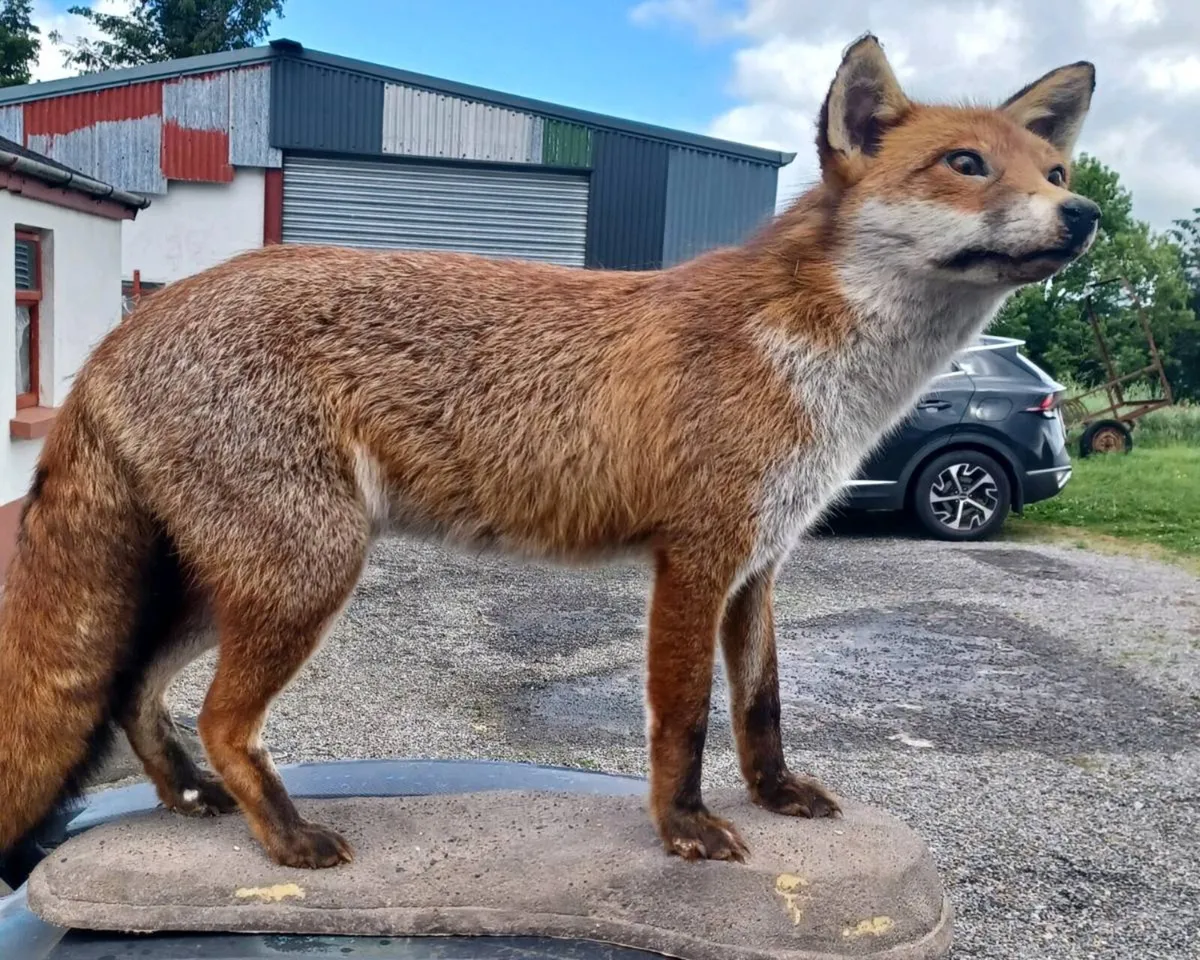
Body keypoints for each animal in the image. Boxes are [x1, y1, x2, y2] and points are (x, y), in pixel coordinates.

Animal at [0, 34, 1098, 879]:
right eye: (964, 164)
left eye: (1054, 174)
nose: (1083, 216)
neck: (822, 369)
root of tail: (123, 328)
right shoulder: (695, 560)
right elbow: (685, 719)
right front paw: (686, 830)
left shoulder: (759, 566)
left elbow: (763, 707)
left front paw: (777, 796)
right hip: (307, 571)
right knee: (223, 718)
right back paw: (288, 838)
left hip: (228, 584)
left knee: (135, 691)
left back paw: (189, 798)